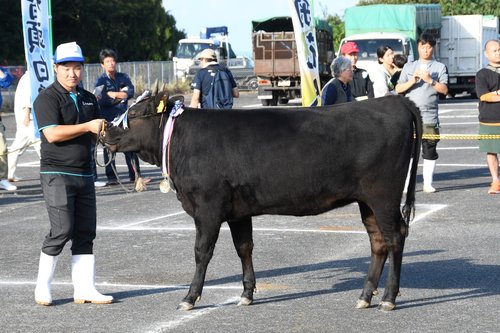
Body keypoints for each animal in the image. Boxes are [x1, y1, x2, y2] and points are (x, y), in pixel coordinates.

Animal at [104, 93, 422, 312]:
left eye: (134, 114)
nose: (105, 130)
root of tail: (394, 100)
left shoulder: (208, 206)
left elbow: (201, 252)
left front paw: (190, 297)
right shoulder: (237, 211)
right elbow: (244, 247)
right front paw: (246, 294)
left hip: (384, 195)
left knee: (395, 237)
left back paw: (389, 298)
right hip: (367, 201)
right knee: (378, 242)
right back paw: (365, 296)